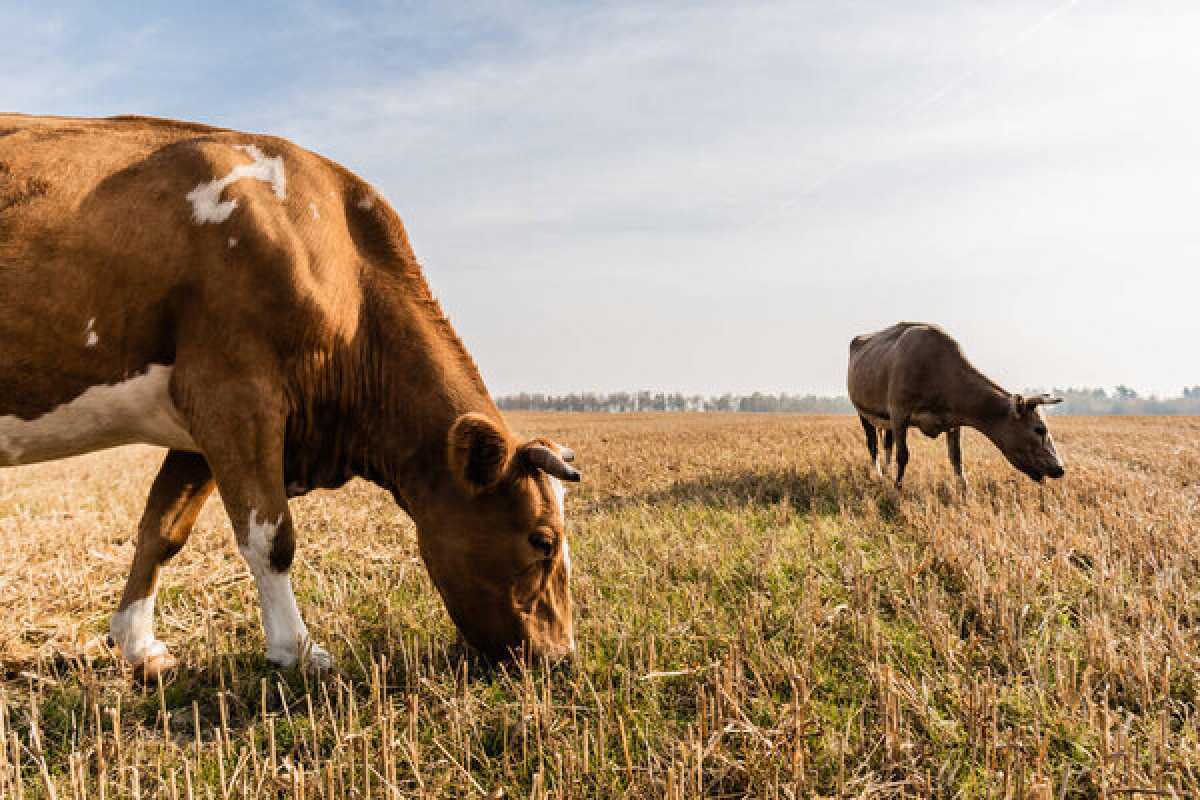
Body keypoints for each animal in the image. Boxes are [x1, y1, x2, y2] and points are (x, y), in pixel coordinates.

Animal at [0, 112, 580, 681]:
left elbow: (161, 530)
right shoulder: (235, 394)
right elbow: (271, 538)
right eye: (542, 540)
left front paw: (139, 647)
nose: (560, 657)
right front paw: (296, 650)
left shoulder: (199, 426)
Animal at [849, 321, 1065, 489]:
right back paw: (879, 474)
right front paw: (897, 489)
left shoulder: (953, 421)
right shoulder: (899, 413)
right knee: (873, 445)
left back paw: (886, 473)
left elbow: (957, 459)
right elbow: (903, 455)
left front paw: (965, 492)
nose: (1060, 468)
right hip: (862, 412)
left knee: (887, 443)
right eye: (1040, 429)